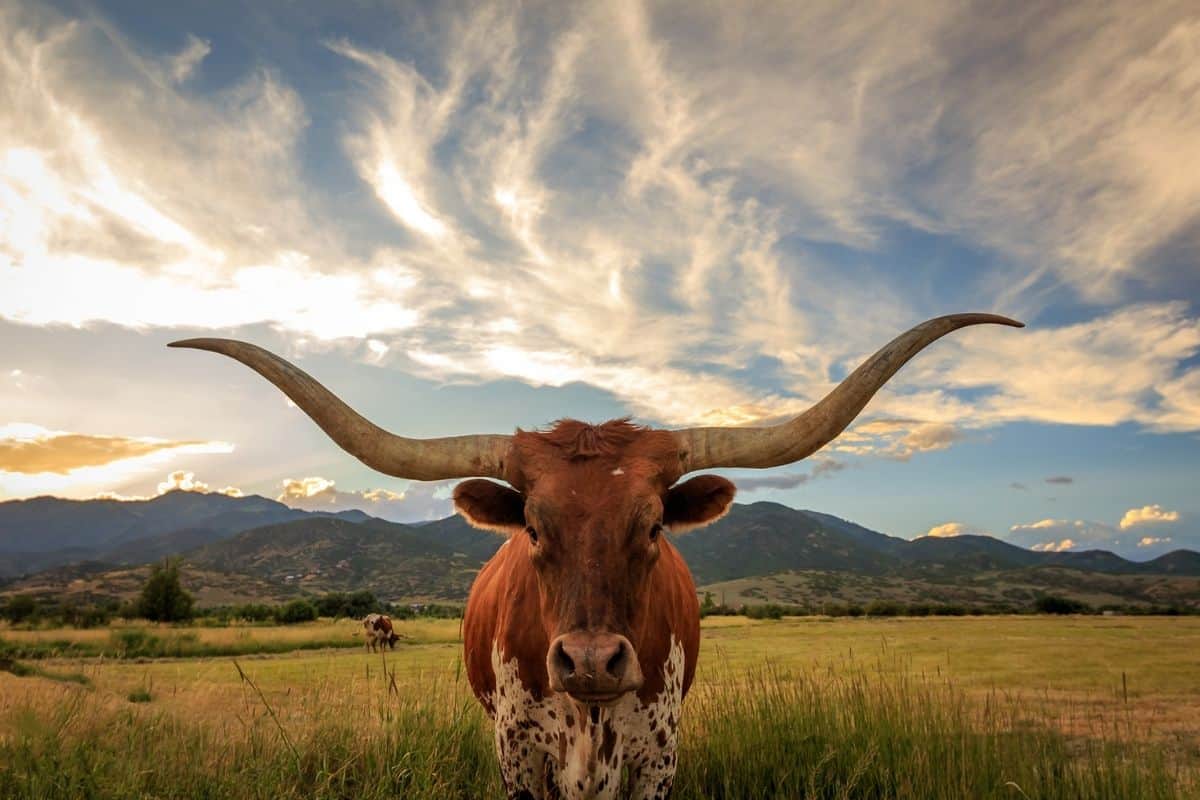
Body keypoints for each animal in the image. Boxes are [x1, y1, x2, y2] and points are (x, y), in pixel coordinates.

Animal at [174, 311, 1017, 800]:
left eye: (652, 525)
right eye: (533, 528)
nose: (588, 661)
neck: (590, 718)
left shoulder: (657, 760)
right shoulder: (518, 759)